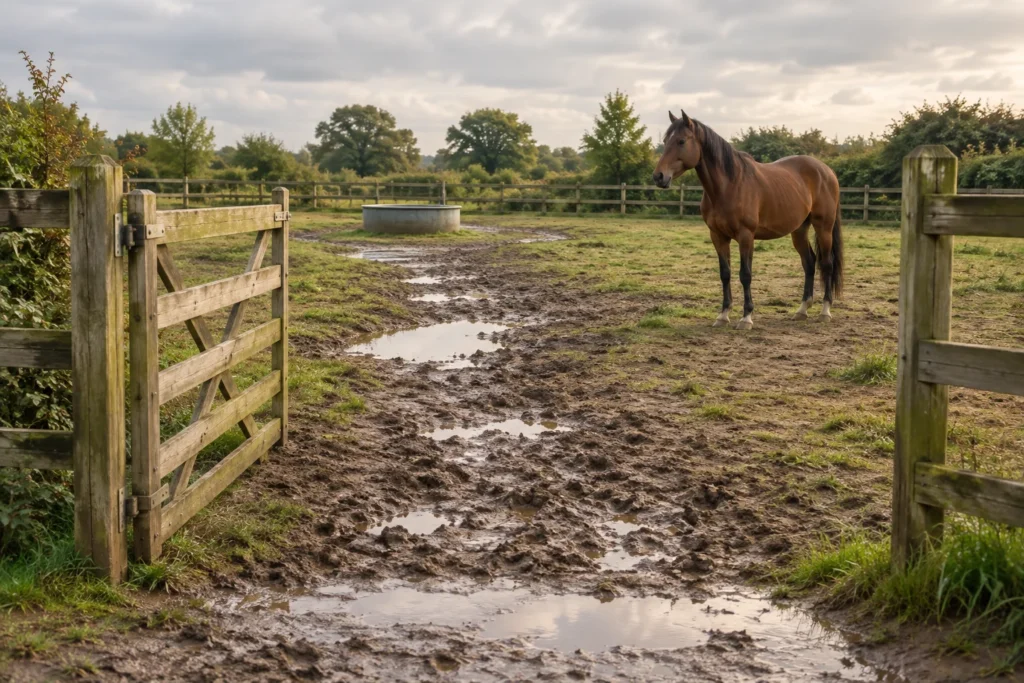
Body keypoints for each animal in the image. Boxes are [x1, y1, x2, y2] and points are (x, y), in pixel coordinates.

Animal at [652, 110, 844, 330]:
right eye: (665, 140)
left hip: (824, 227)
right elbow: (725, 273)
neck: (729, 185)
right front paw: (723, 315)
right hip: (799, 230)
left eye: (681, 141)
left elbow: (745, 274)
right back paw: (802, 310)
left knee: (827, 263)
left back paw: (825, 311)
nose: (658, 176)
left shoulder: (746, 236)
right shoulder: (718, 236)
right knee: (809, 262)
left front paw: (746, 318)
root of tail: (827, 171)